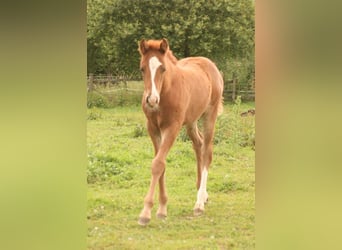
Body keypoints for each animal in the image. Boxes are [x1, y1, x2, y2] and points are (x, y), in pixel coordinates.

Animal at [138, 38, 223, 226]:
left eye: (163, 68)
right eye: (142, 68)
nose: (151, 100)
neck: (166, 92)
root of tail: (209, 63)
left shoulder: (172, 128)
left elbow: (158, 164)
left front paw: (146, 213)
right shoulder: (153, 129)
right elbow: (160, 164)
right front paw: (162, 209)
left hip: (210, 115)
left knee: (207, 151)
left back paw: (199, 203)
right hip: (191, 121)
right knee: (198, 145)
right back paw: (202, 194)